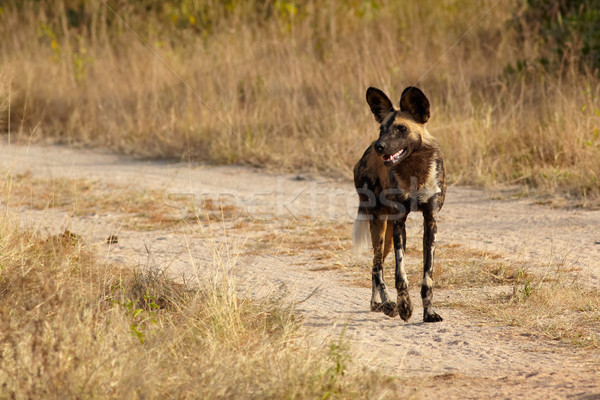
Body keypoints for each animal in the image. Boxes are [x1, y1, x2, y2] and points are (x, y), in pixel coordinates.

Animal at [352, 86, 446, 322]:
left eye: (401, 129)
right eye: (381, 129)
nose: (379, 146)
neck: (414, 170)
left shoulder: (430, 222)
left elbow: (428, 276)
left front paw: (429, 312)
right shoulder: (399, 222)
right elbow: (400, 274)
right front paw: (405, 307)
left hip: (385, 233)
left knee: (375, 266)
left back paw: (377, 304)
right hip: (379, 225)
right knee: (377, 267)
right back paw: (385, 304)